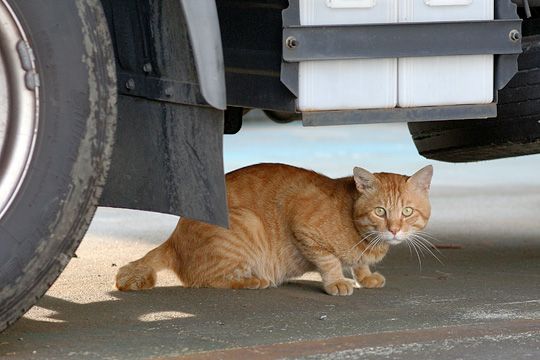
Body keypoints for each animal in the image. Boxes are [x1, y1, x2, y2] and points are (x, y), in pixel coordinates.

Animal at [116, 163, 432, 296]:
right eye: (380, 212)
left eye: (406, 212)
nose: (394, 230)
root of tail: (172, 239)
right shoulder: (304, 224)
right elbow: (329, 261)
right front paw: (337, 282)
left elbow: (359, 264)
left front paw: (365, 276)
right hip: (247, 224)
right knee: (208, 280)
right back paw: (255, 281)